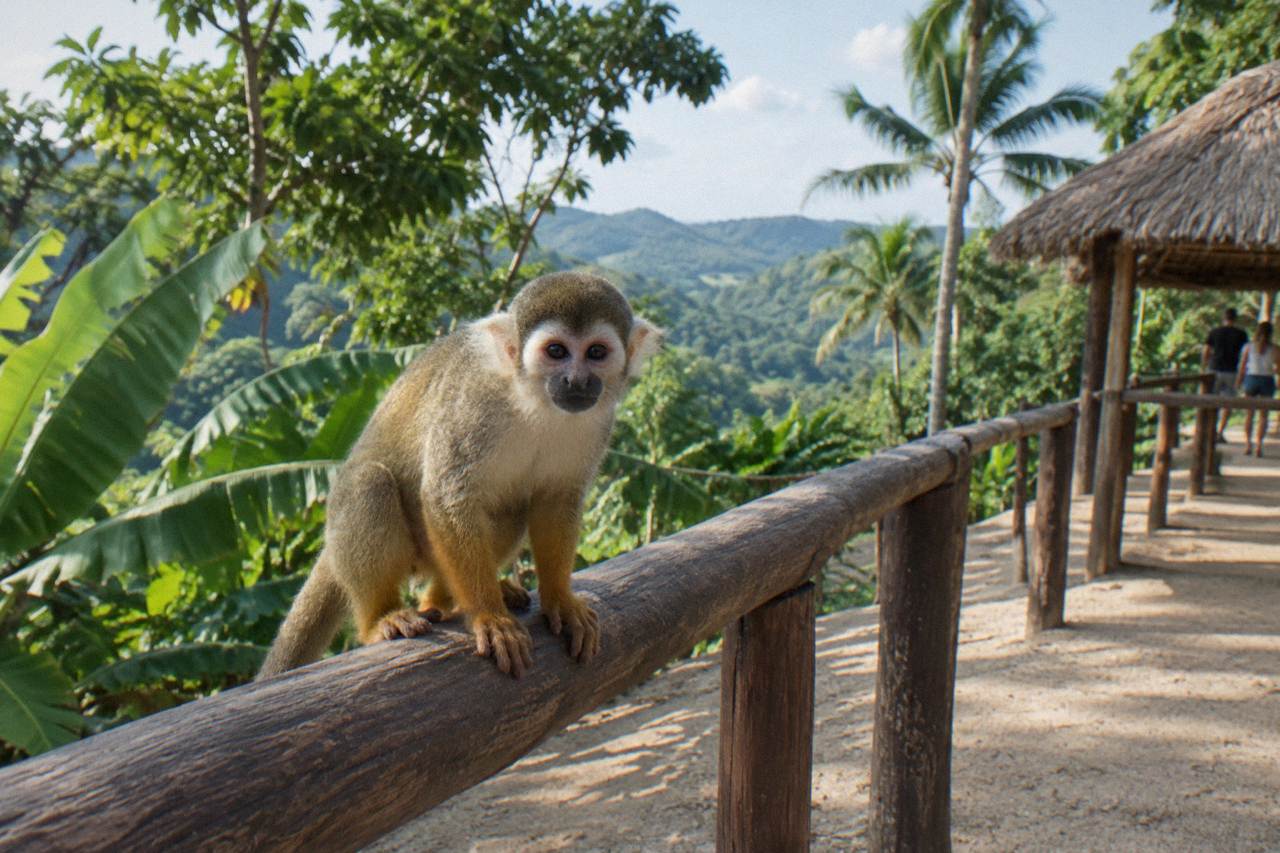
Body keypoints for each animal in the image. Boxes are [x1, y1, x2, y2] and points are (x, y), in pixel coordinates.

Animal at [256, 272, 662, 679]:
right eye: (556, 351)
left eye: (596, 353)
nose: (575, 381)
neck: (534, 402)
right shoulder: (472, 403)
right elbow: (447, 495)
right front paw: (488, 615)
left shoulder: (599, 423)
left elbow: (556, 500)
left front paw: (560, 601)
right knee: (369, 483)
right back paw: (380, 619)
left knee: (511, 510)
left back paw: (442, 600)